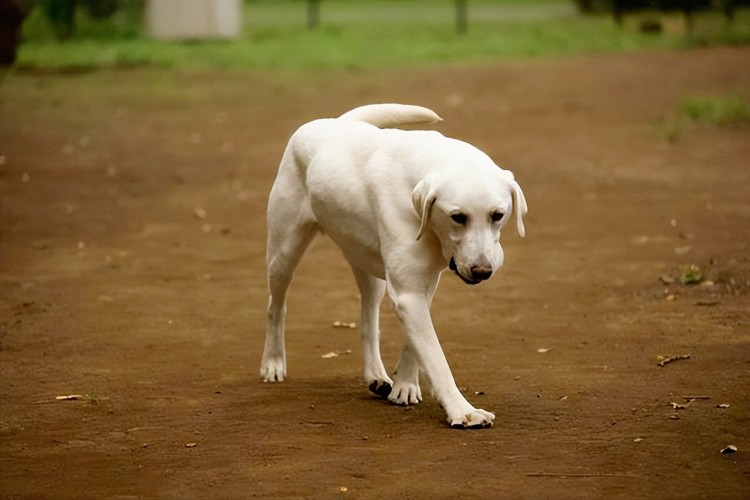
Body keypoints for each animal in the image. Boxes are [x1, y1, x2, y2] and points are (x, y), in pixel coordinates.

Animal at [262, 103, 528, 428]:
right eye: (457, 217)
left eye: (498, 215)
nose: (482, 271)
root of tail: (334, 122)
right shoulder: (409, 294)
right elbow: (436, 357)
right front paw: (463, 411)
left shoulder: (422, 286)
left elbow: (415, 344)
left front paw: (405, 386)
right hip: (284, 252)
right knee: (276, 306)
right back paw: (273, 363)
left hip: (366, 264)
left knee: (368, 320)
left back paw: (376, 376)